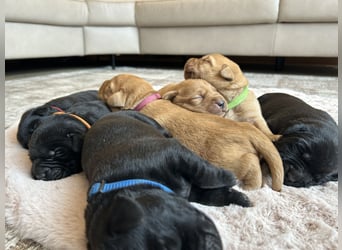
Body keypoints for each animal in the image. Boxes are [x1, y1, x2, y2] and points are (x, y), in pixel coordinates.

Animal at [81, 111, 250, 250]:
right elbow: (207, 194)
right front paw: (237, 198)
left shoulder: (172, 154)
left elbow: (202, 171)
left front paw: (229, 178)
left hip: (150, 122)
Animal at [97, 74, 284, 191]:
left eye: (109, 86)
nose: (102, 81)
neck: (145, 98)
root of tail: (249, 130)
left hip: (229, 160)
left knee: (251, 163)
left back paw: (250, 186)